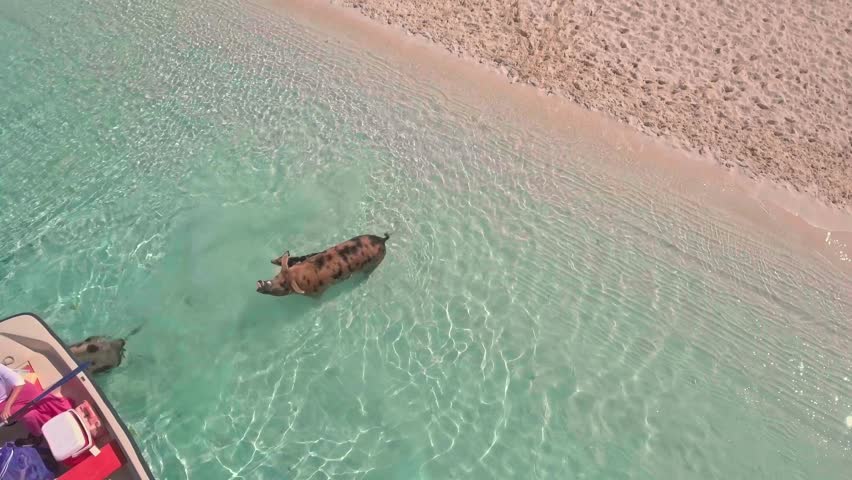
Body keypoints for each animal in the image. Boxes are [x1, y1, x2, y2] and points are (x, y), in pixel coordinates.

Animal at [256, 233, 390, 297]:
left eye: (284, 284)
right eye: (277, 275)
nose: (259, 282)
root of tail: (382, 240)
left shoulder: (316, 293)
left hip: (375, 263)